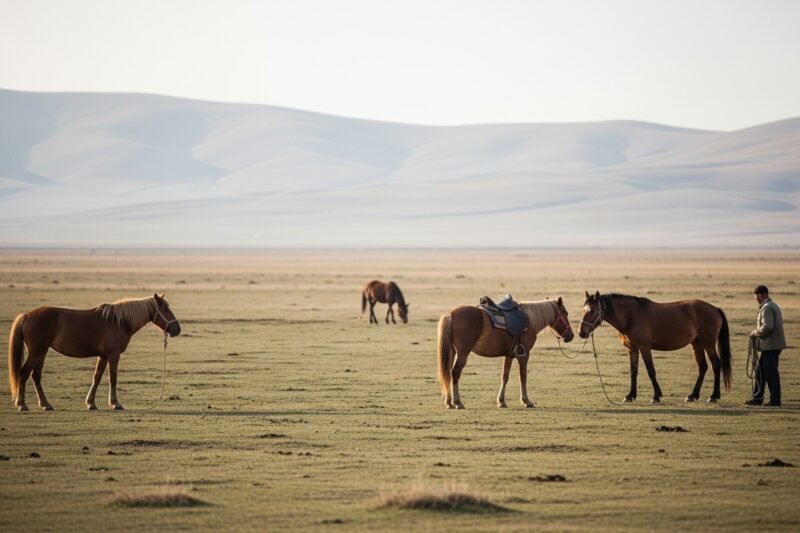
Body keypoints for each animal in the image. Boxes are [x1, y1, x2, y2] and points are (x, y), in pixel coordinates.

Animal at [7, 293, 180, 411]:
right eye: (166, 309)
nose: (177, 329)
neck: (120, 322)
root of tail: (26, 316)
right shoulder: (113, 355)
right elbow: (112, 378)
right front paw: (115, 403)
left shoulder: (103, 356)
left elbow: (96, 378)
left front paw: (91, 403)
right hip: (37, 353)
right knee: (24, 373)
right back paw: (22, 404)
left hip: (41, 353)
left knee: (35, 376)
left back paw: (45, 404)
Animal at [437, 298, 574, 409]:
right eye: (566, 313)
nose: (571, 335)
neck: (529, 321)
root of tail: (451, 314)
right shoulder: (524, 355)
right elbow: (523, 377)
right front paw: (526, 401)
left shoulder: (509, 355)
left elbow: (505, 376)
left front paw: (501, 401)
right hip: (463, 354)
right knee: (455, 373)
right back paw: (457, 402)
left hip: (452, 352)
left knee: (447, 373)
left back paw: (449, 402)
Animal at [578, 291, 732, 404]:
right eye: (583, 310)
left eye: (592, 311)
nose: (581, 332)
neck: (631, 316)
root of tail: (715, 309)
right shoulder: (632, 349)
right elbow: (633, 372)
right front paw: (630, 396)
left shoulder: (644, 348)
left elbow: (651, 371)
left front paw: (656, 396)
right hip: (697, 343)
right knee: (703, 367)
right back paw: (693, 395)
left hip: (708, 343)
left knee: (716, 364)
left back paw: (713, 396)